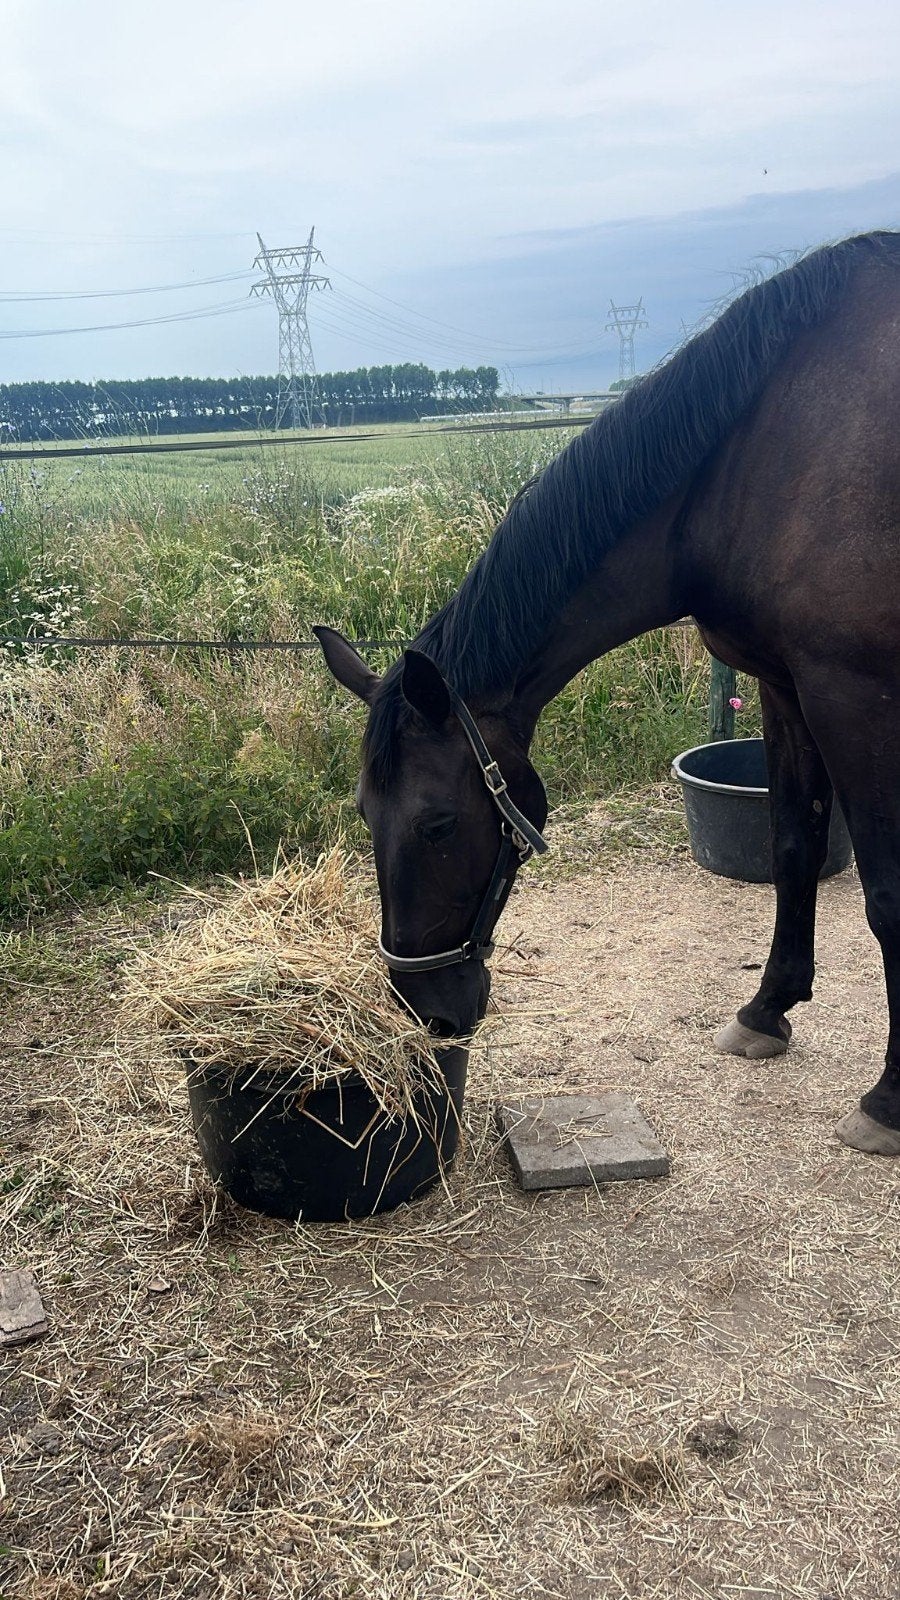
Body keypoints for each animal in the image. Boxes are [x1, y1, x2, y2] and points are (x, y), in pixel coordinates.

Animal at [316, 230, 900, 1158]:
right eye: (365, 815)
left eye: (437, 824)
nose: (426, 1011)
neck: (760, 456)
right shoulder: (783, 685)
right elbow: (792, 850)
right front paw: (766, 1011)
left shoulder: (855, 694)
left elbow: (886, 895)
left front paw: (888, 1100)